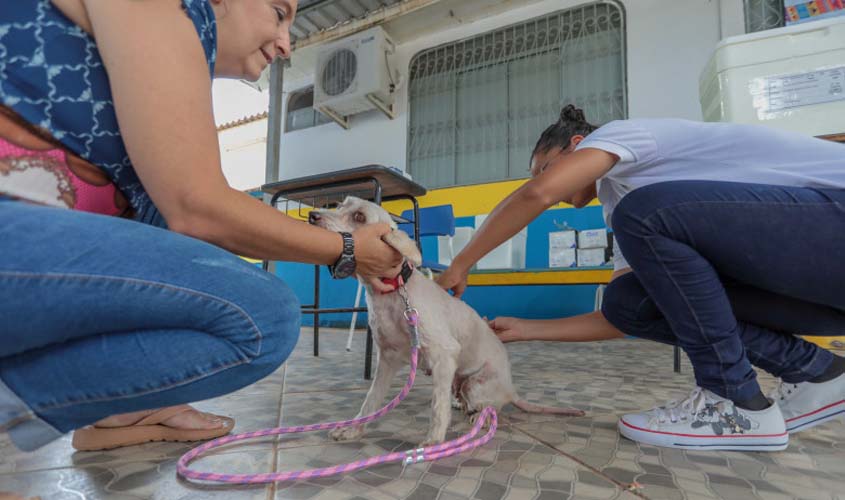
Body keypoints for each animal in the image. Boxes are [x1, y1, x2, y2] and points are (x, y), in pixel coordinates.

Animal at [308, 196, 580, 446]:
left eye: (360, 217)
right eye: (340, 205)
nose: (311, 216)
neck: (394, 293)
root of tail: (511, 390)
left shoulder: (443, 354)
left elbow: (438, 407)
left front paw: (434, 442)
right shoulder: (387, 359)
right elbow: (370, 401)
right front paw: (352, 430)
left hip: (475, 384)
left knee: (492, 408)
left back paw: (479, 416)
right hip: (458, 381)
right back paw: (461, 405)